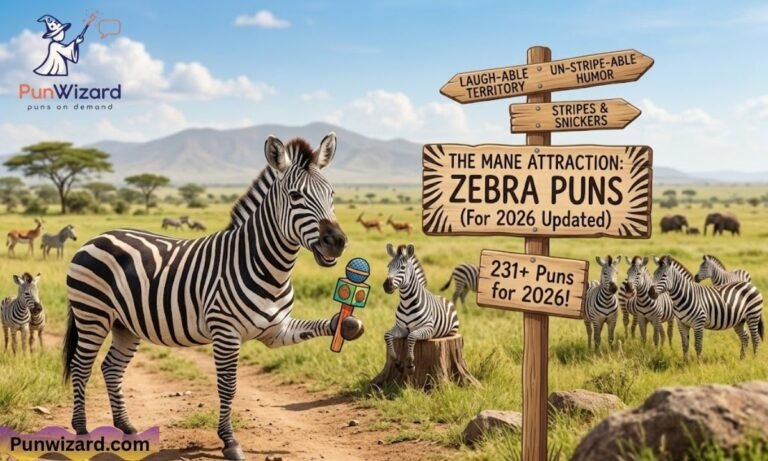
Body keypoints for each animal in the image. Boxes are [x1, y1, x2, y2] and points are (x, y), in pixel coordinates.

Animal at [63, 133, 364, 461]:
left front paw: (347, 324)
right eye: (296, 196)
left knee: (111, 368)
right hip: (92, 315)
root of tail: (97, 237)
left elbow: (321, 325)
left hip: (125, 324)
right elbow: (228, 386)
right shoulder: (225, 332)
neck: (267, 268)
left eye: (331, 194)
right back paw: (81, 430)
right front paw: (229, 441)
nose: (337, 242)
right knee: (81, 366)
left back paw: (127, 427)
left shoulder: (278, 331)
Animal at [383, 243, 459, 372]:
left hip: (453, 329)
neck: (406, 303)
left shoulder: (429, 328)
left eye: (402, 268)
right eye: (388, 266)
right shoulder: (400, 328)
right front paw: (397, 362)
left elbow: (411, 336)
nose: (386, 285)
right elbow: (387, 335)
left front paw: (410, 363)